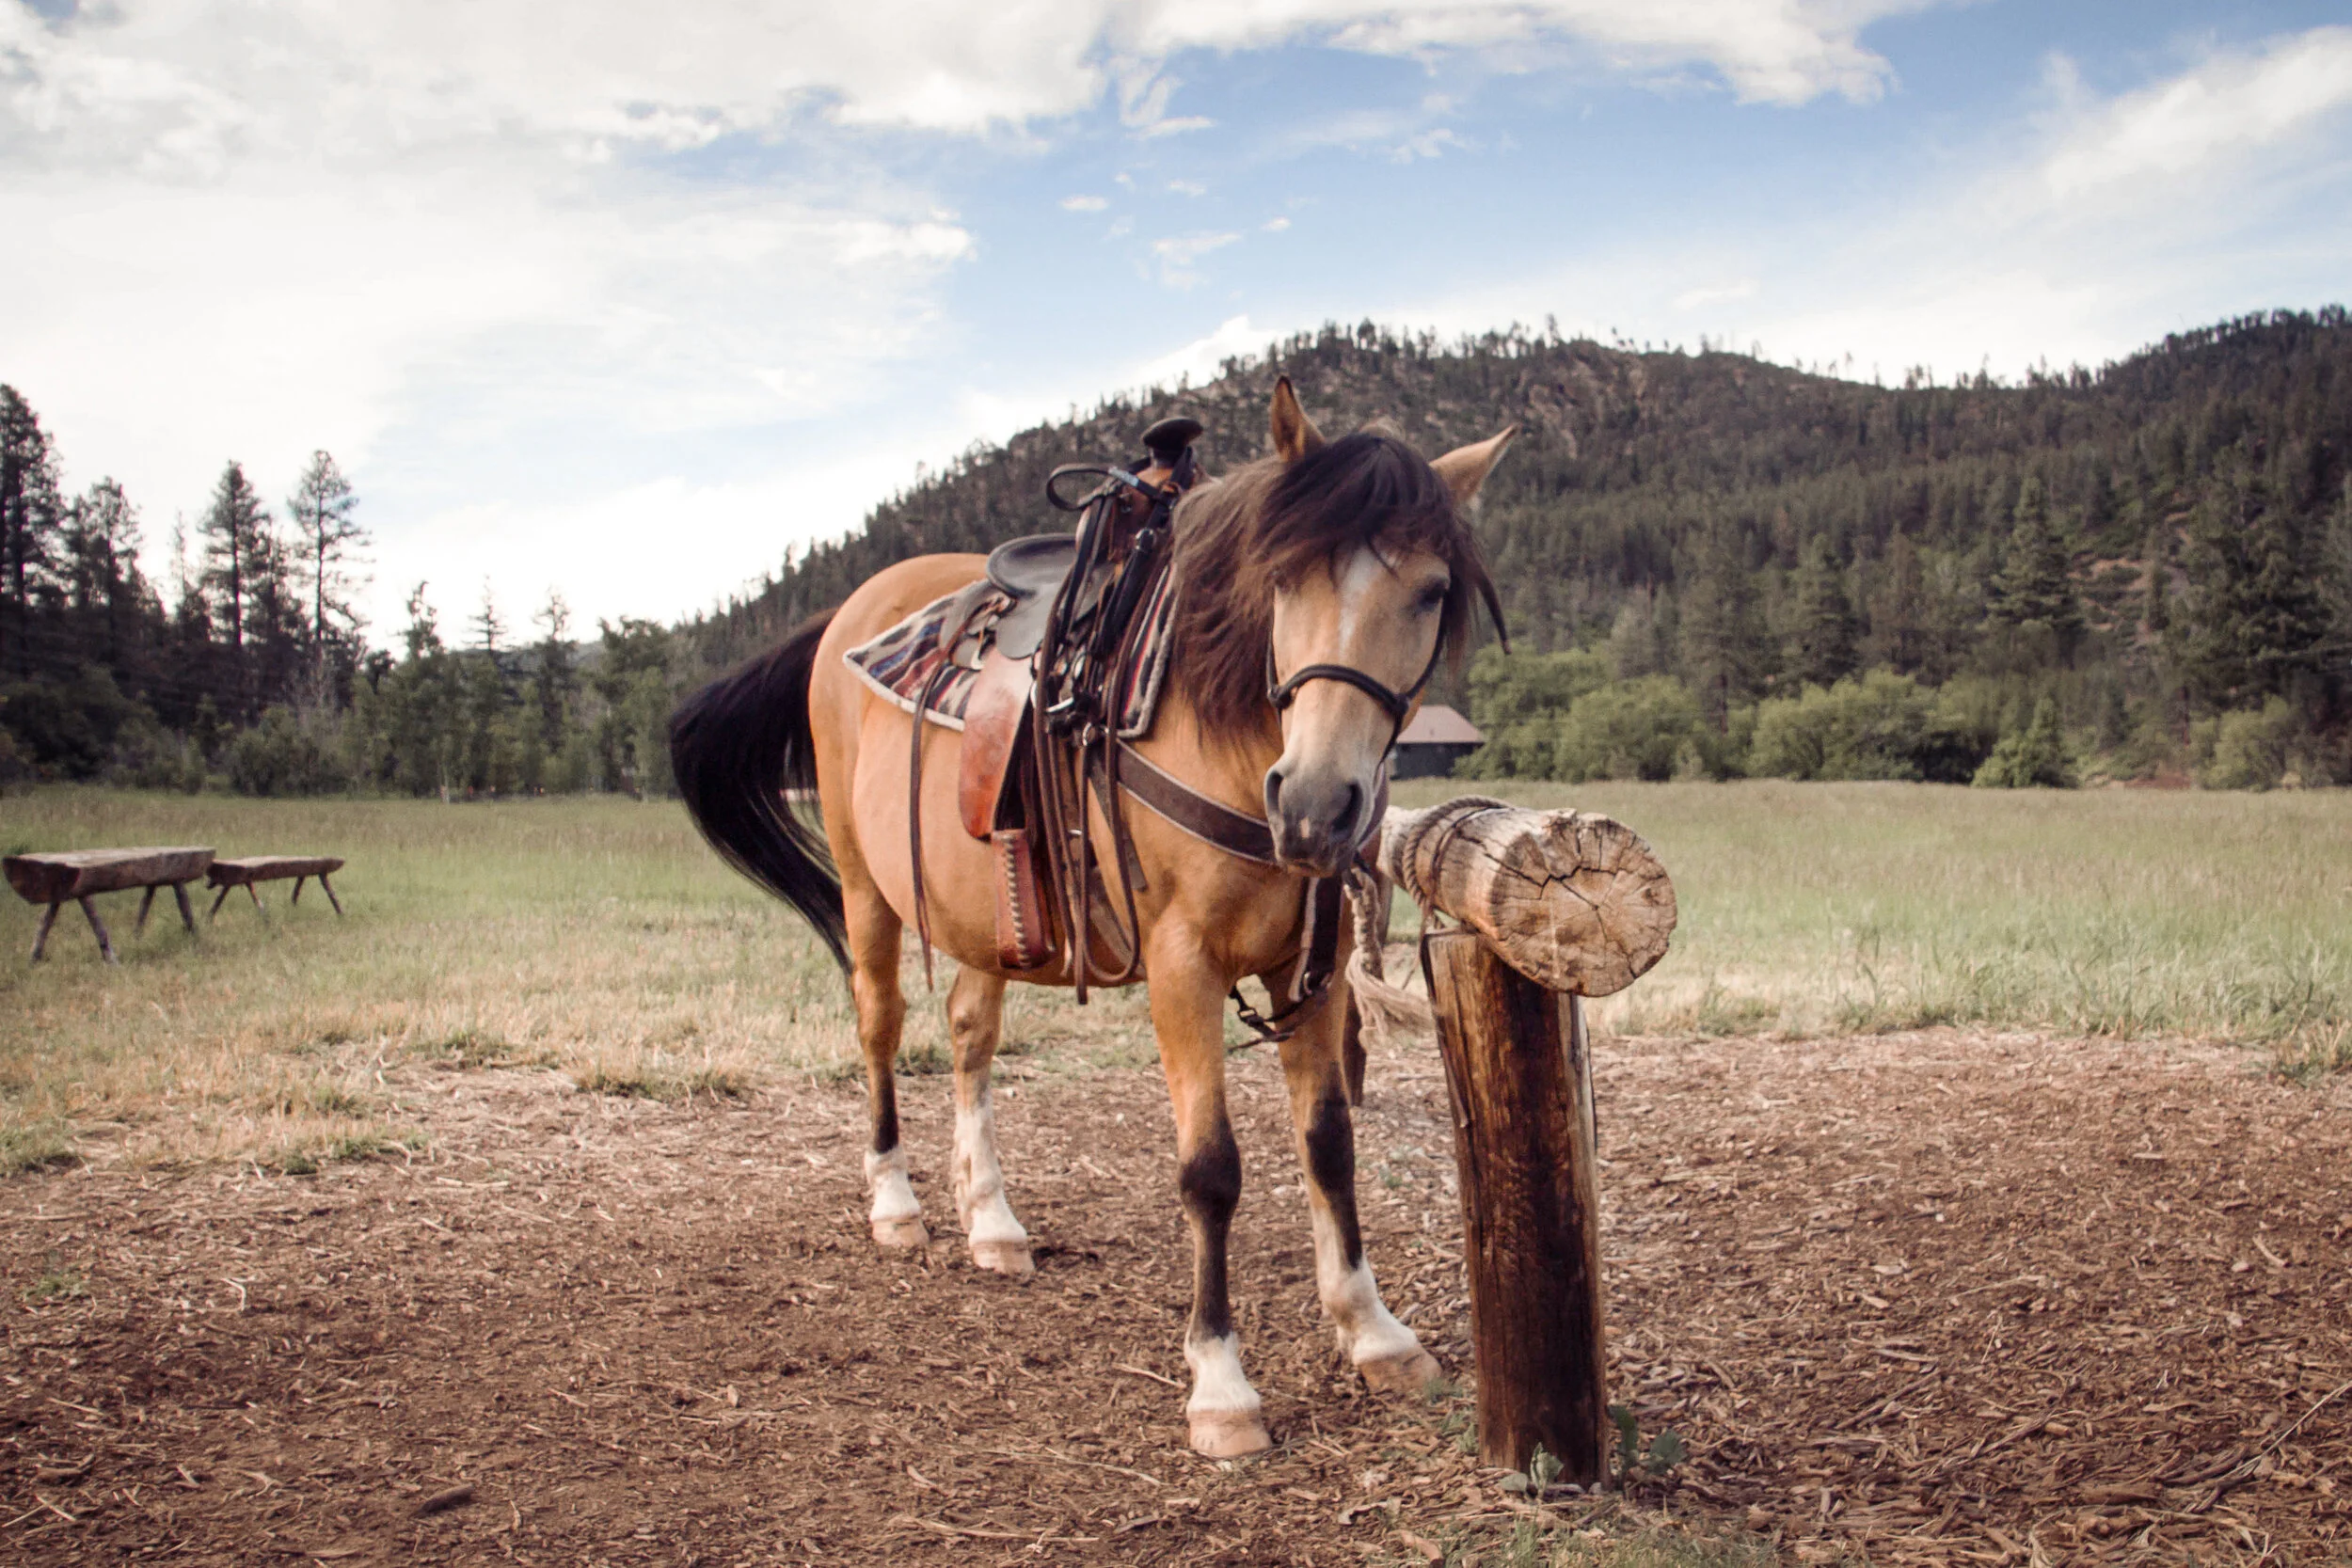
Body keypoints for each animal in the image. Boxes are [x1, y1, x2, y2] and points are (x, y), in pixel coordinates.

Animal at [669, 379, 1513, 1456]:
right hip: (866, 891)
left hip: (985, 908)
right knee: (880, 1027)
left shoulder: (1309, 964)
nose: (1317, 804)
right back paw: (898, 1205)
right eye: (1282, 577)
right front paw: (1220, 1384)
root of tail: (844, 619)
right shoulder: (1182, 963)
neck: (1222, 730)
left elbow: (1328, 1142)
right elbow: (1211, 1169)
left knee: (968, 1036)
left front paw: (1373, 1332)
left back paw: (990, 1217)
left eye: (1432, 591)